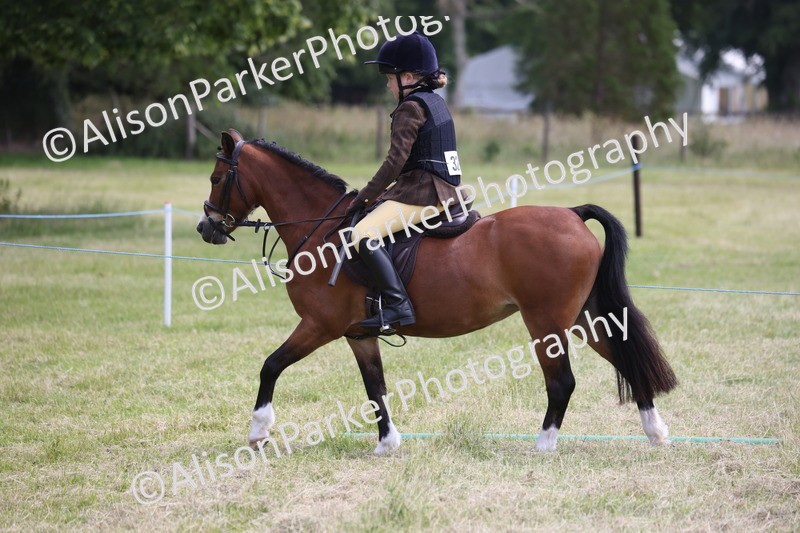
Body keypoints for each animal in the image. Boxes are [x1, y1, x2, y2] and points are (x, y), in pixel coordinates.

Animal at [197, 128, 677, 455]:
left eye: (217, 177)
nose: (206, 228)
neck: (322, 230)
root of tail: (574, 214)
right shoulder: (359, 334)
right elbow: (375, 388)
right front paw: (387, 444)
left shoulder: (319, 326)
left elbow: (270, 366)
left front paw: (258, 432)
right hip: (584, 318)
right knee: (627, 360)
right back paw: (656, 432)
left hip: (546, 323)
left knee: (561, 382)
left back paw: (543, 445)